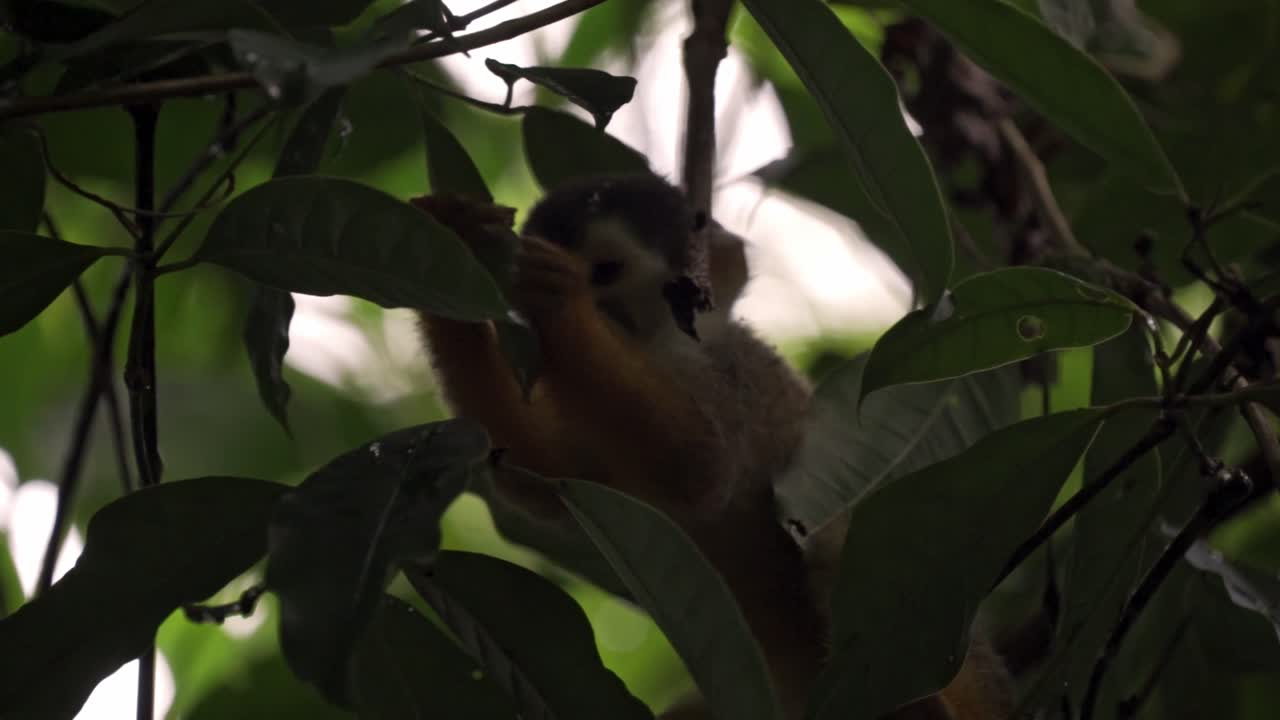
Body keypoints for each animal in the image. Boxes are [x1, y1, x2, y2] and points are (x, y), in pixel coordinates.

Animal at [412, 174, 1013, 720]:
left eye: (605, 271)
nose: (600, 310)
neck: (657, 348)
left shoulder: (729, 376)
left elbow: (700, 467)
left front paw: (560, 301)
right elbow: (535, 479)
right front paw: (453, 247)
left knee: (832, 543)